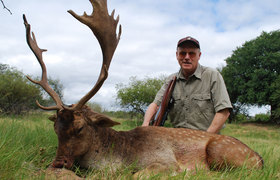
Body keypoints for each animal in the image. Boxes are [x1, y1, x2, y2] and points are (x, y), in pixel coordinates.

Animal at [23, 0, 262, 177]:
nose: (57, 164)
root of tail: (259, 158)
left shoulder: (165, 161)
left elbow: (137, 174)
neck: (124, 153)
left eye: (80, 128)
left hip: (220, 149)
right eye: (55, 128)